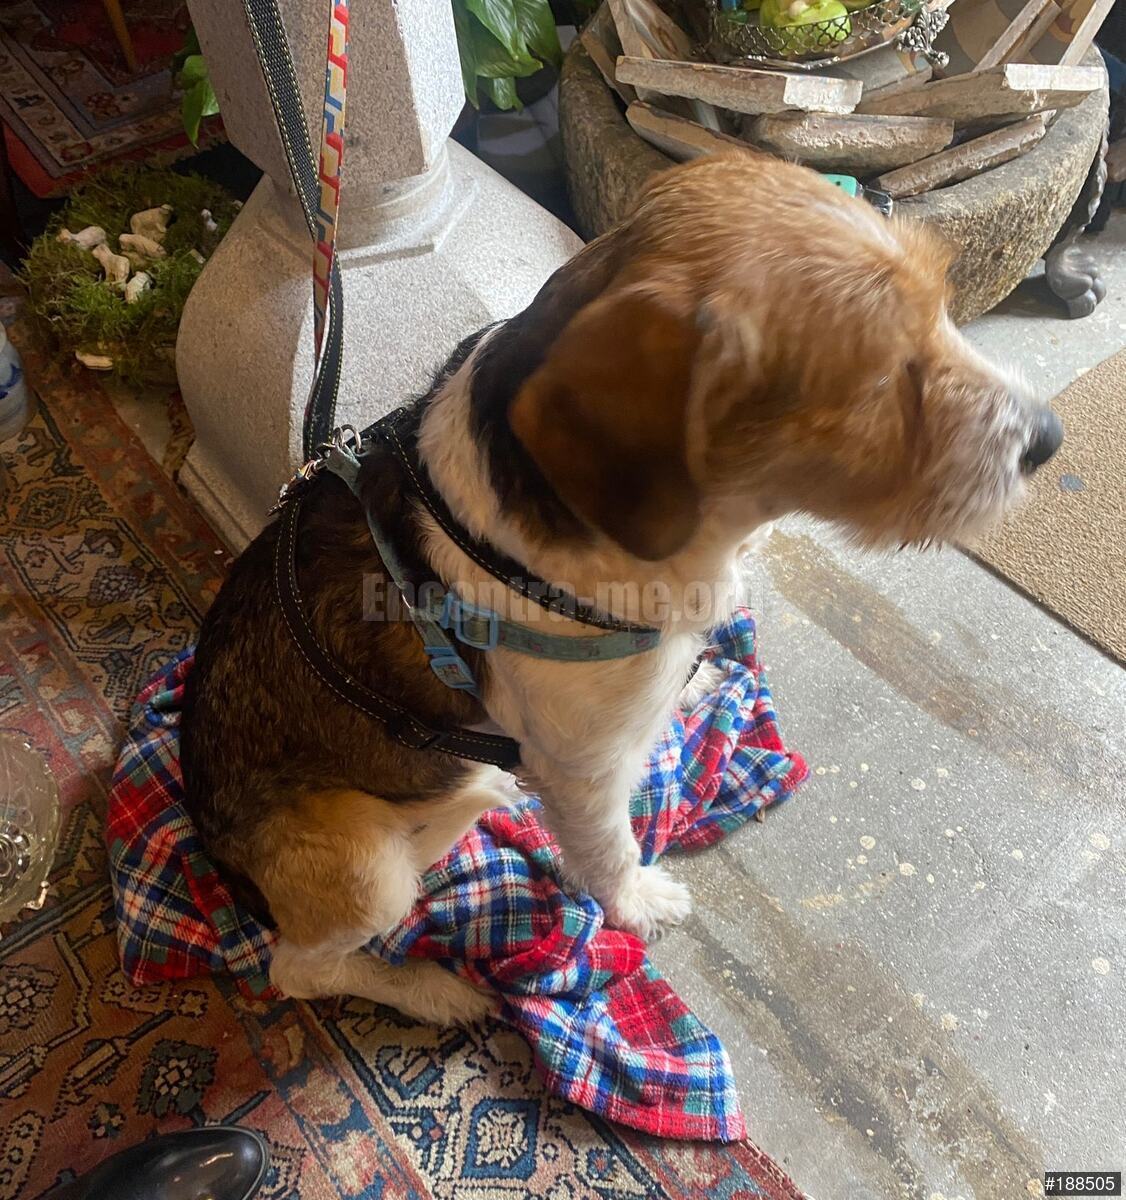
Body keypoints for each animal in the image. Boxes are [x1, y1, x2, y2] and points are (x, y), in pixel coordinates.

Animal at [180, 151, 1062, 1026]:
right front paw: (637, 904)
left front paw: (695, 682)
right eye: (876, 378)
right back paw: (434, 989)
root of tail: (215, 849)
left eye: (944, 309)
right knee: (298, 970)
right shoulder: (589, 770)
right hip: (365, 866)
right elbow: (610, 850)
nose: (1048, 440)